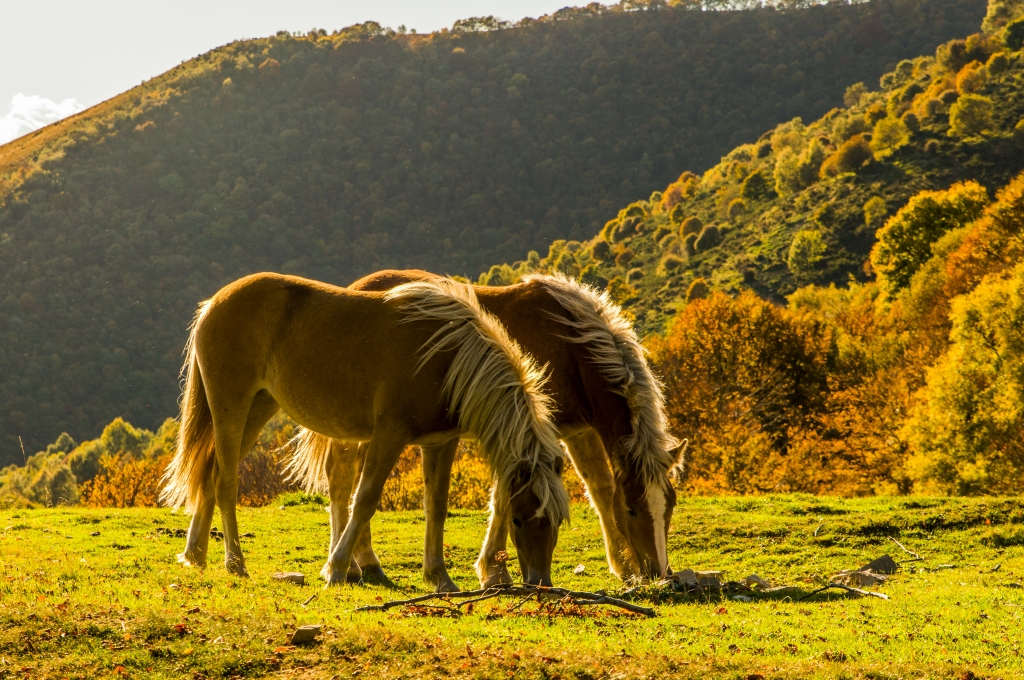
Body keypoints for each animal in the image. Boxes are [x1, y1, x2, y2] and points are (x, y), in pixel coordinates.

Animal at [161, 273, 570, 585]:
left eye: (556, 522)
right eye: (518, 519)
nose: (540, 583)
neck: (446, 357)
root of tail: (215, 302)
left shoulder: (440, 443)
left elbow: (435, 506)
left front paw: (439, 577)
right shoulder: (389, 436)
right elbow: (365, 499)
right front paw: (337, 568)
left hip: (256, 410)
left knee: (209, 475)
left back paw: (195, 555)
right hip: (231, 408)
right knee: (225, 482)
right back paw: (235, 563)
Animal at [313, 270, 682, 592]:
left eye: (670, 507)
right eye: (633, 509)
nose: (660, 572)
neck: (570, 347)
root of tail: (359, 285)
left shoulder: (577, 432)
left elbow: (601, 489)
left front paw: (624, 566)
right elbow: (505, 498)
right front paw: (494, 571)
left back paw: (361, 563)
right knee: (343, 483)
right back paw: (352, 566)